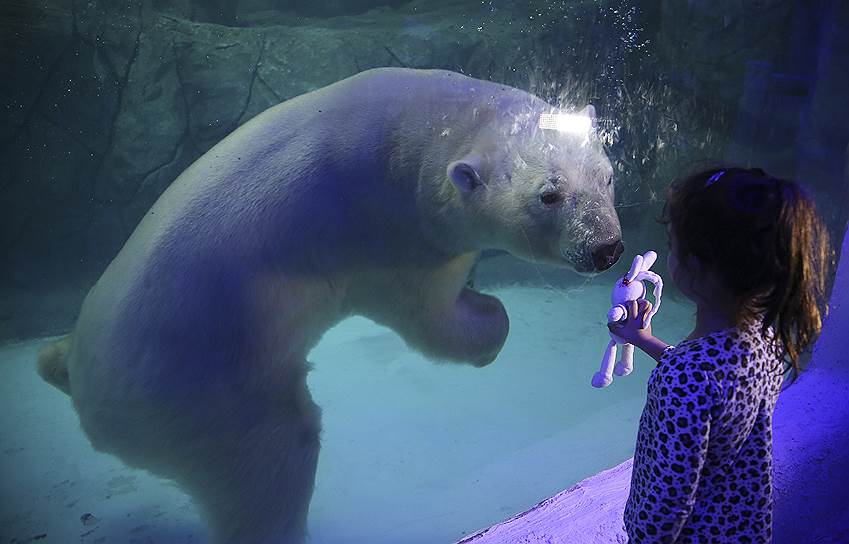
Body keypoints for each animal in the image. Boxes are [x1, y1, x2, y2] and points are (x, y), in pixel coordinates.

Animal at [36, 68, 624, 544]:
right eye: (548, 195)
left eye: (606, 174)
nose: (606, 248)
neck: (419, 131)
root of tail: (89, 390)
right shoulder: (392, 233)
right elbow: (428, 317)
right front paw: (488, 319)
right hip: (206, 392)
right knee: (272, 460)